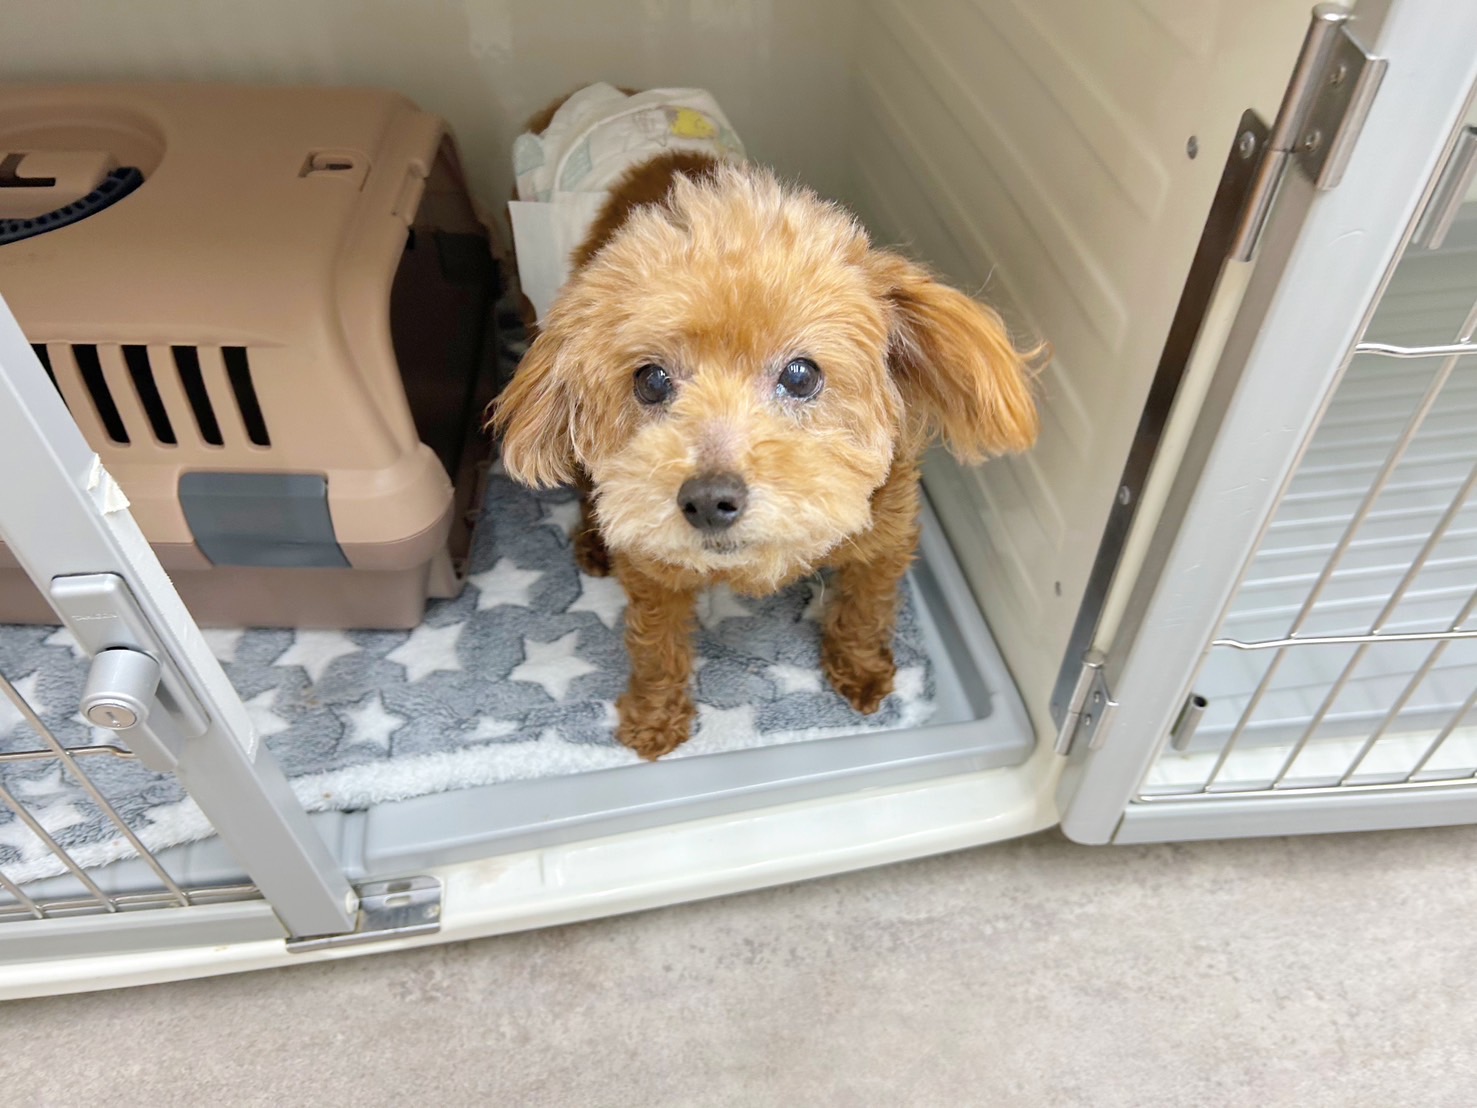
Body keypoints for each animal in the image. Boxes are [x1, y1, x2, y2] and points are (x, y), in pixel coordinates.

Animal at [491, 87, 1040, 760]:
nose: (707, 501)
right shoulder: (651, 565)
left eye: (801, 375)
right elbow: (655, 644)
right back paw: (594, 539)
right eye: (650, 380)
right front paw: (653, 717)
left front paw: (862, 671)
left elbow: (867, 604)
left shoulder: (886, 531)